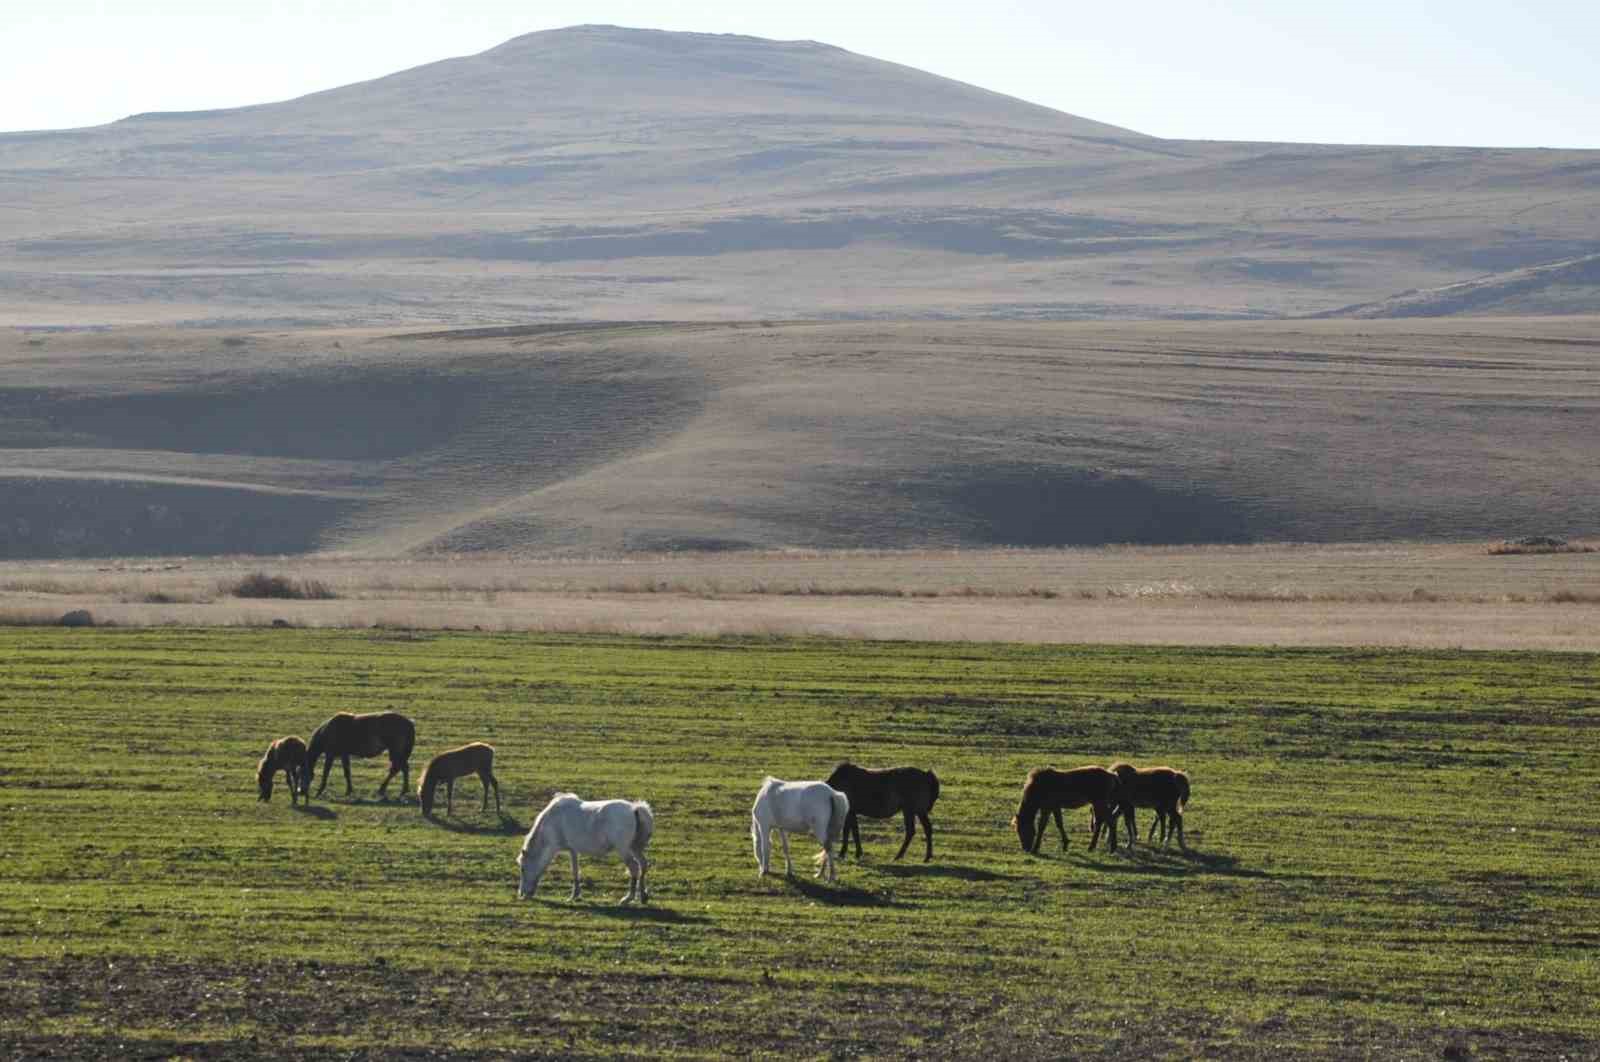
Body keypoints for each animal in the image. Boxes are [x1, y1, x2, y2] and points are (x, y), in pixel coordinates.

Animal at [518, 796, 656, 902]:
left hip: (624, 850)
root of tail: (634, 808)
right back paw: (643, 896)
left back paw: (628, 898)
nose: (521, 894)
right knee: (643, 865)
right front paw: (574, 895)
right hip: (635, 848)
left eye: (523, 869)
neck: (553, 820)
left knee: (634, 868)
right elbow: (575, 871)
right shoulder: (573, 850)